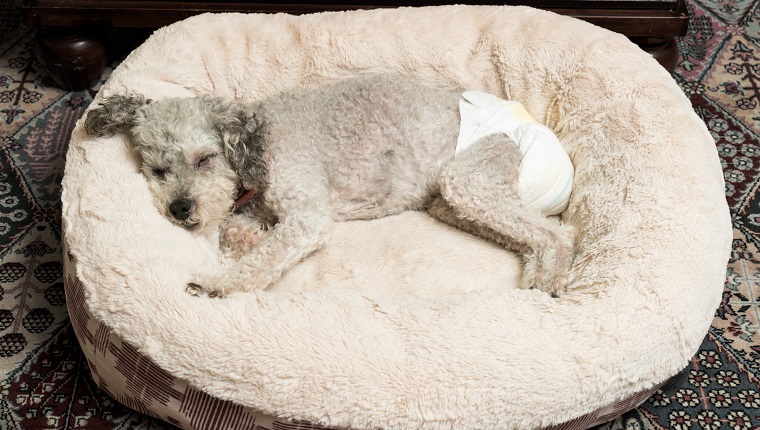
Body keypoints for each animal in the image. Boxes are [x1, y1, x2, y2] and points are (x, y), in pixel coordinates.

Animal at [83, 74, 572, 298]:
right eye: (156, 170)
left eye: (204, 159)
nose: (180, 209)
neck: (258, 147)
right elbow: (244, 232)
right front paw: (252, 234)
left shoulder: (305, 215)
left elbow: (264, 258)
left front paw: (217, 283)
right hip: (453, 202)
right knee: (535, 232)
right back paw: (536, 277)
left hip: (470, 176)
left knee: (557, 236)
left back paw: (548, 284)